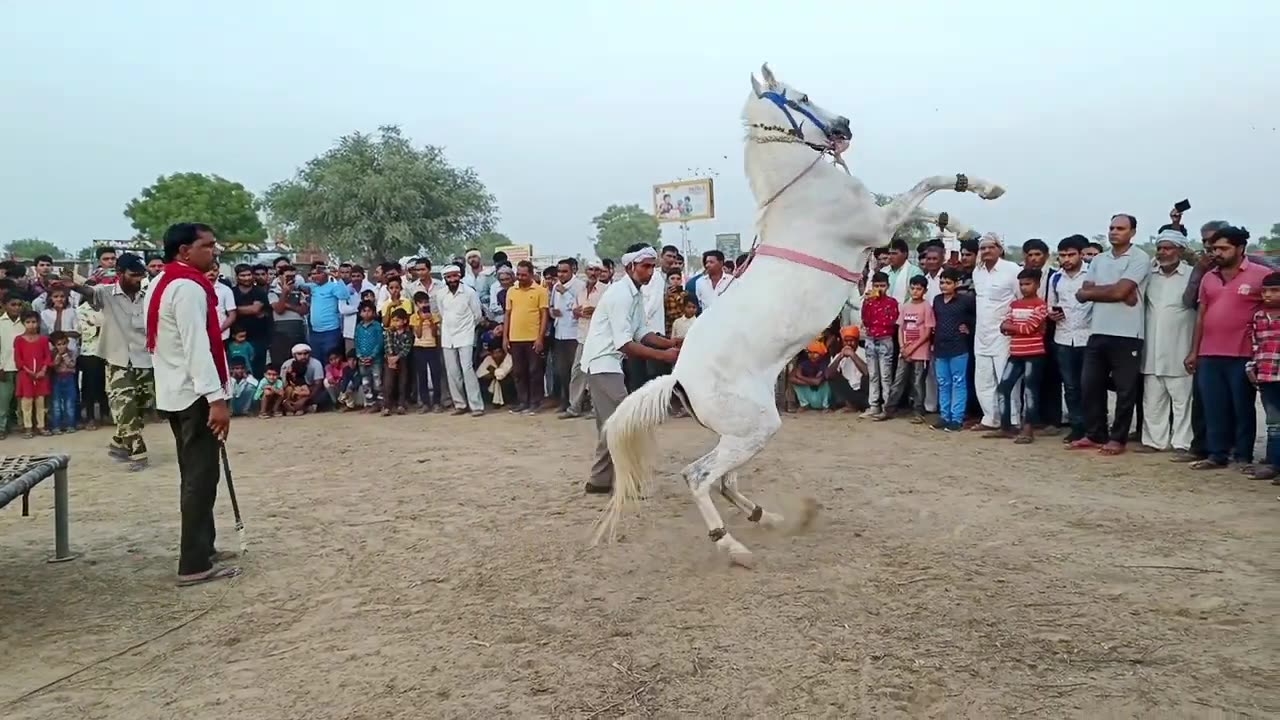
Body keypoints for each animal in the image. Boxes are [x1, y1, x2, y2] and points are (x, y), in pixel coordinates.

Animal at [593, 63, 1003, 566]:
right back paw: (733, 545)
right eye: (803, 96)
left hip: (749, 431)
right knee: (700, 477)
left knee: (724, 480)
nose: (845, 125)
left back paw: (768, 517)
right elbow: (927, 185)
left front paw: (968, 224)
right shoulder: (876, 225)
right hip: (753, 427)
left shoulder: (880, 226)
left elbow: (928, 205)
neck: (803, 192)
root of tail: (678, 378)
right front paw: (985, 189)